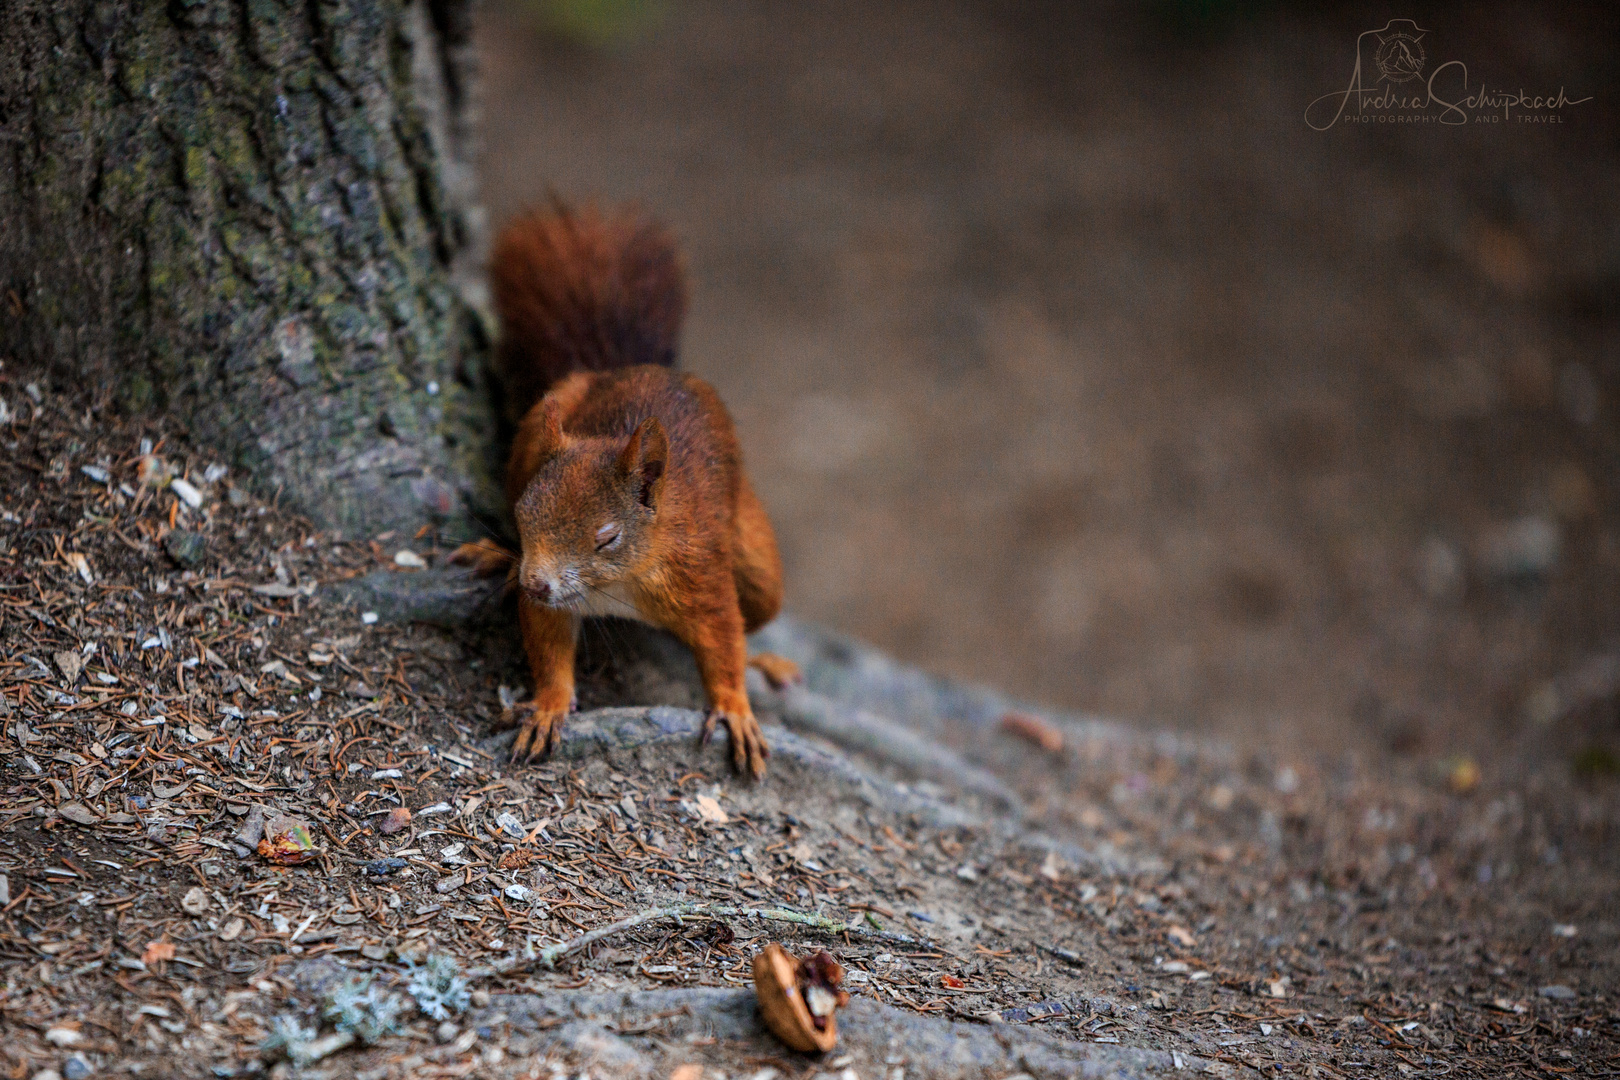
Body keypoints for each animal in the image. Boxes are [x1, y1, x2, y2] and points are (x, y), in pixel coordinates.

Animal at [453, 204, 800, 777]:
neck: (618, 584)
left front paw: (735, 707)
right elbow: (548, 644)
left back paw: (768, 660)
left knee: (757, 607)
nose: (534, 583)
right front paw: (549, 705)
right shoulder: (552, 600)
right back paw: (497, 557)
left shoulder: (699, 573)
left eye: (607, 538)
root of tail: (630, 366)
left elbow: (725, 639)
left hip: (755, 561)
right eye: (524, 514)